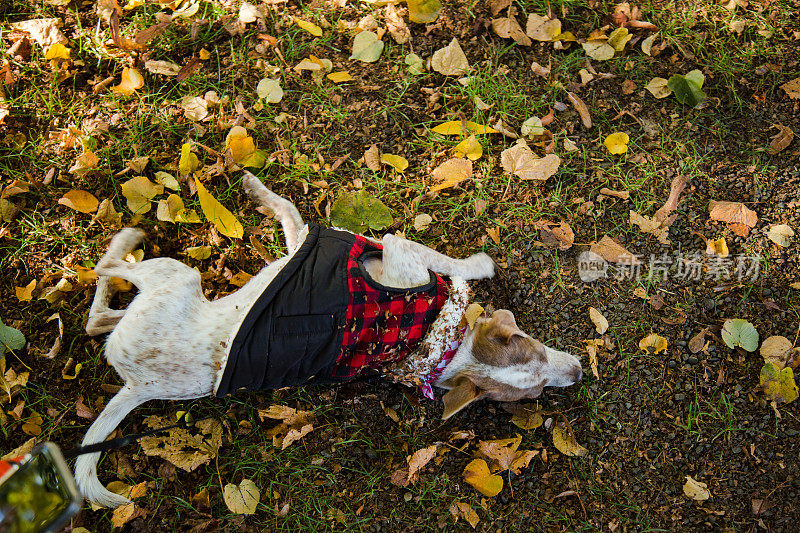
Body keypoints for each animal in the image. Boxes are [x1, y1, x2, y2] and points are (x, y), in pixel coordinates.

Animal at [76, 171, 580, 508]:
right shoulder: (336, 248)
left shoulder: (365, 245)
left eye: (534, 392)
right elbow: (287, 206)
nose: (577, 374)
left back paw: (125, 239)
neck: (440, 343)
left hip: (176, 279)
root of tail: (141, 386)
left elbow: (292, 211)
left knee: (99, 294)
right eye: (533, 348)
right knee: (99, 306)